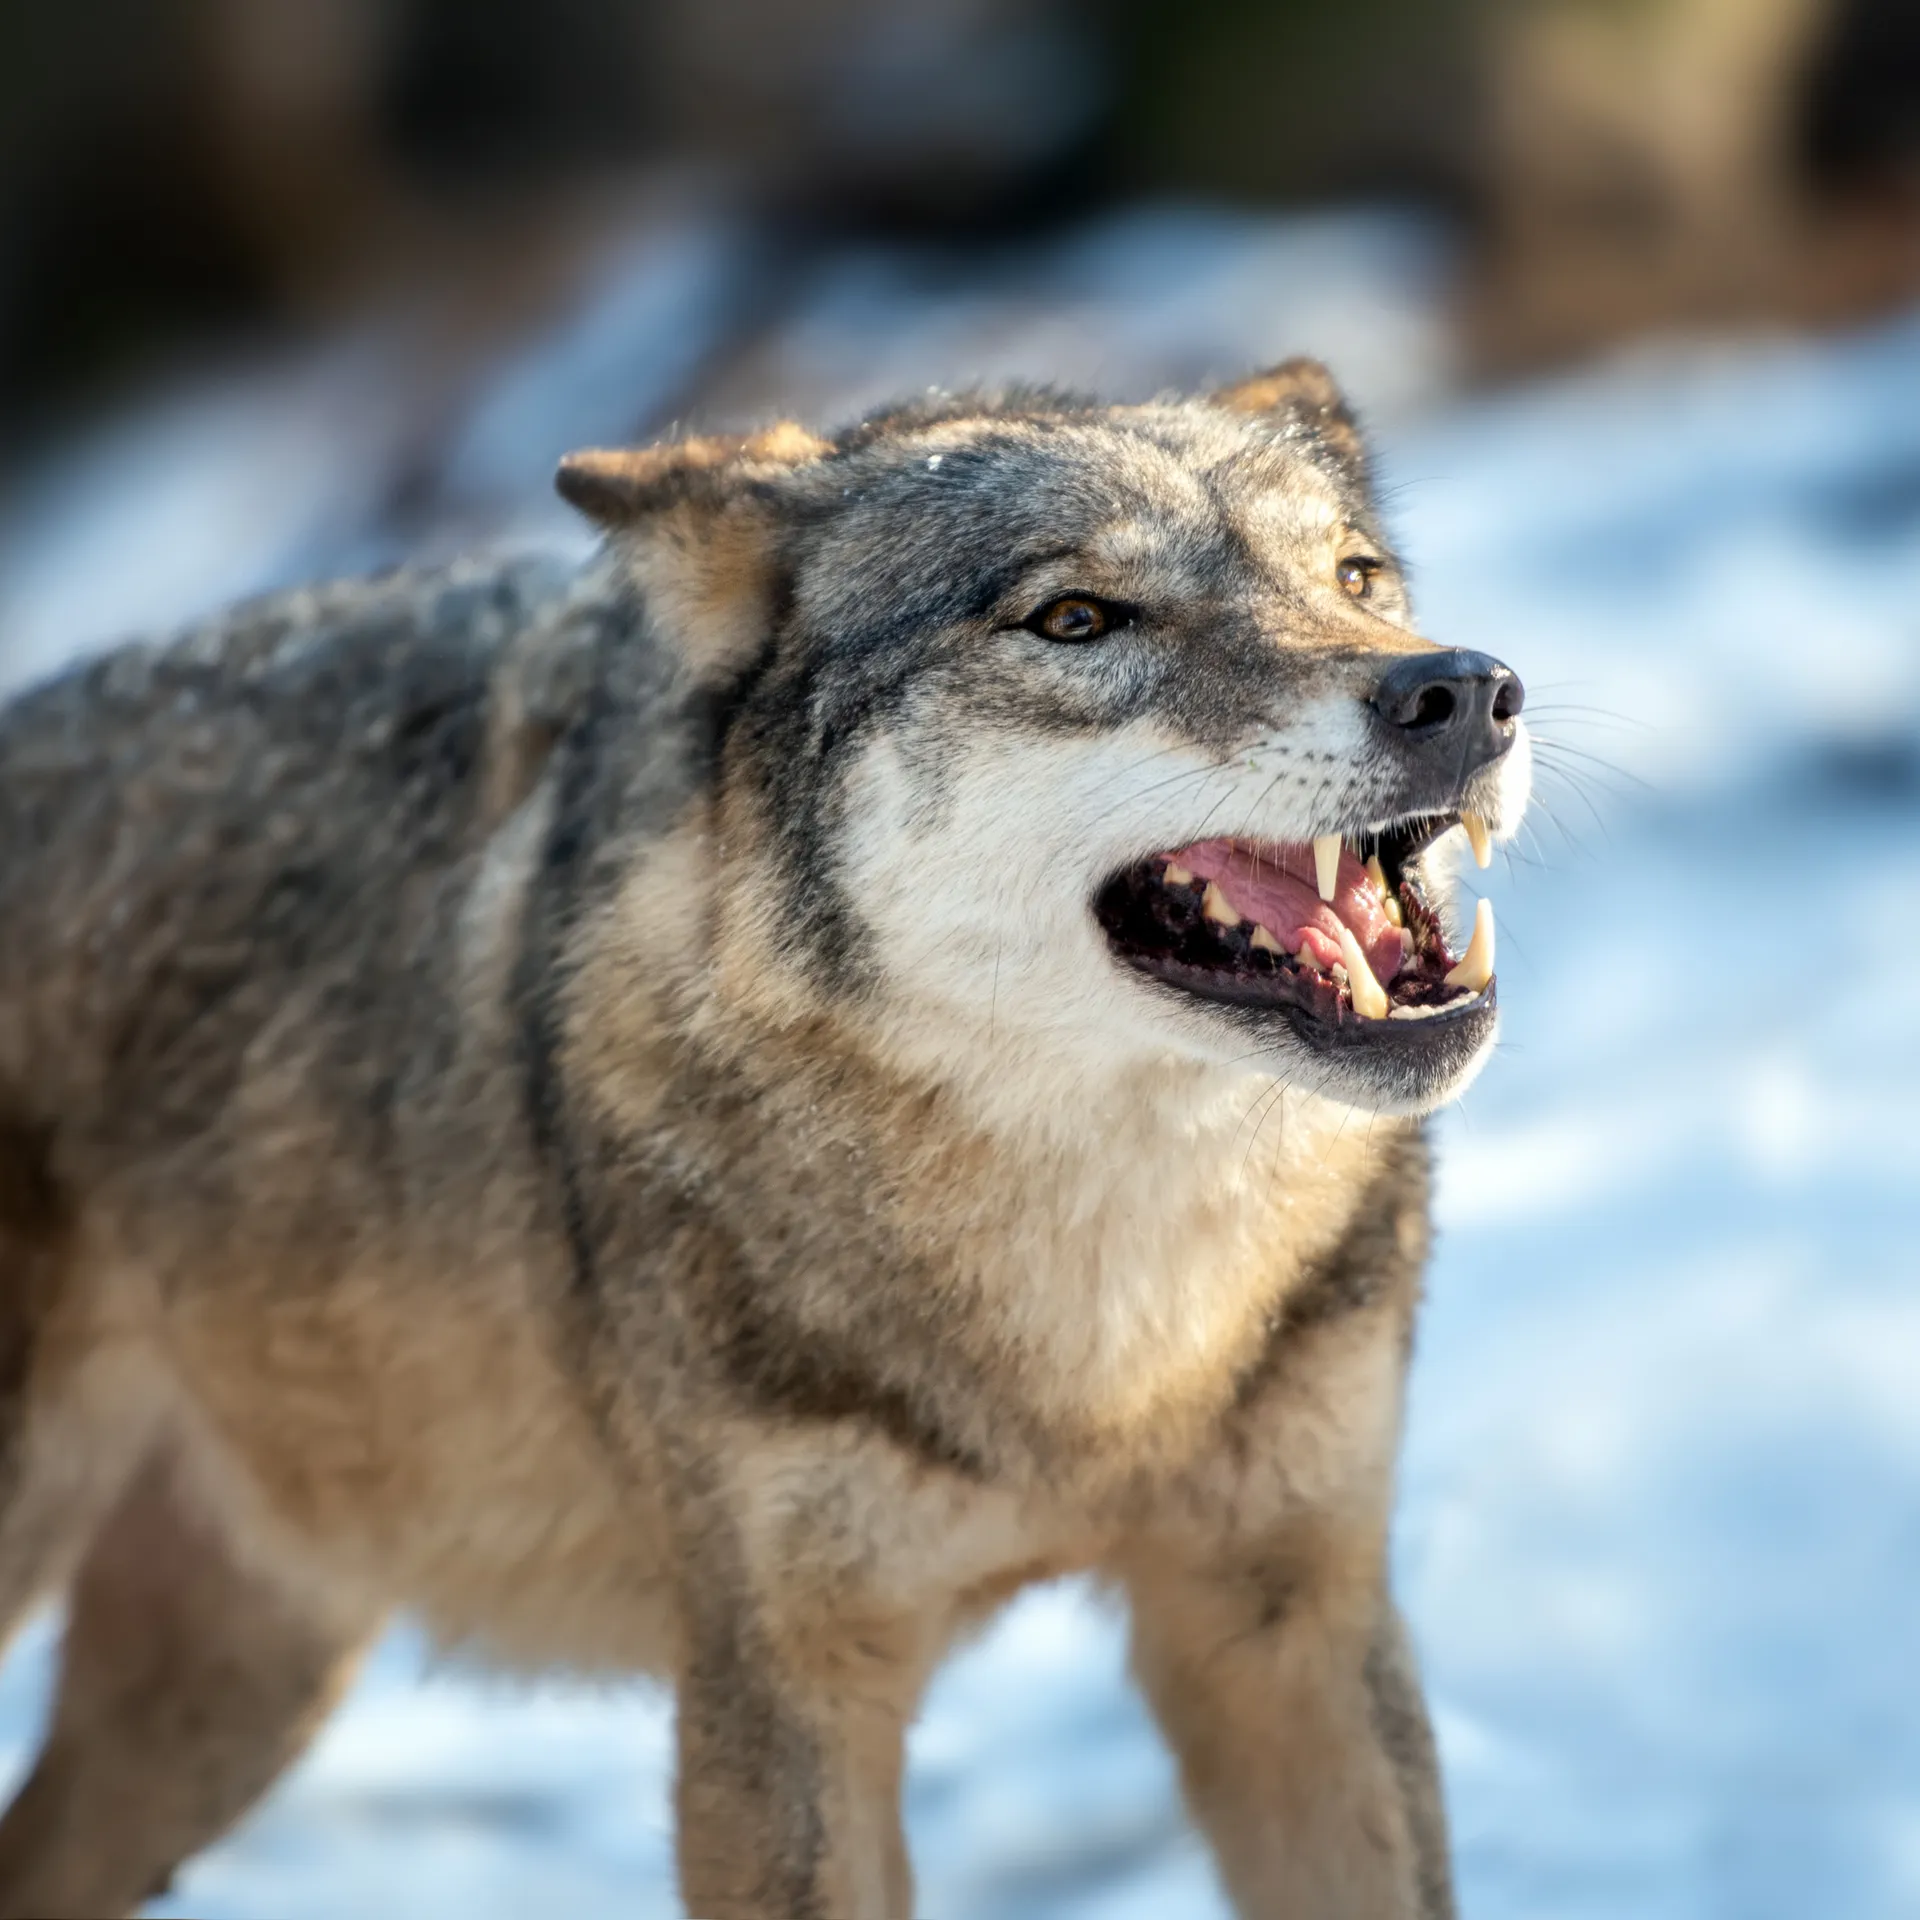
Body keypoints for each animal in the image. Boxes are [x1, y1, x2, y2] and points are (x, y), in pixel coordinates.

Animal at [0, 357, 1528, 1904]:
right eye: (1077, 618)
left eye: (1356, 577)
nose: (1464, 689)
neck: (1102, 1352)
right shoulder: (780, 1688)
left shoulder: (1294, 1622)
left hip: (233, 1697)